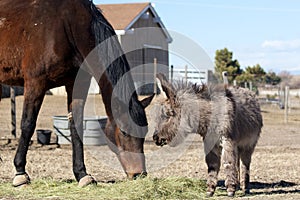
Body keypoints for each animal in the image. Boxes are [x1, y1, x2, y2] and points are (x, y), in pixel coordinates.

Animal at [0, 0, 154, 187]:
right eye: (124, 132)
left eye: (145, 132)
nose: (139, 174)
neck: (67, 26)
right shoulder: (35, 84)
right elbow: (28, 124)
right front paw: (20, 173)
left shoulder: (76, 84)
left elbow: (76, 126)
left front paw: (82, 174)